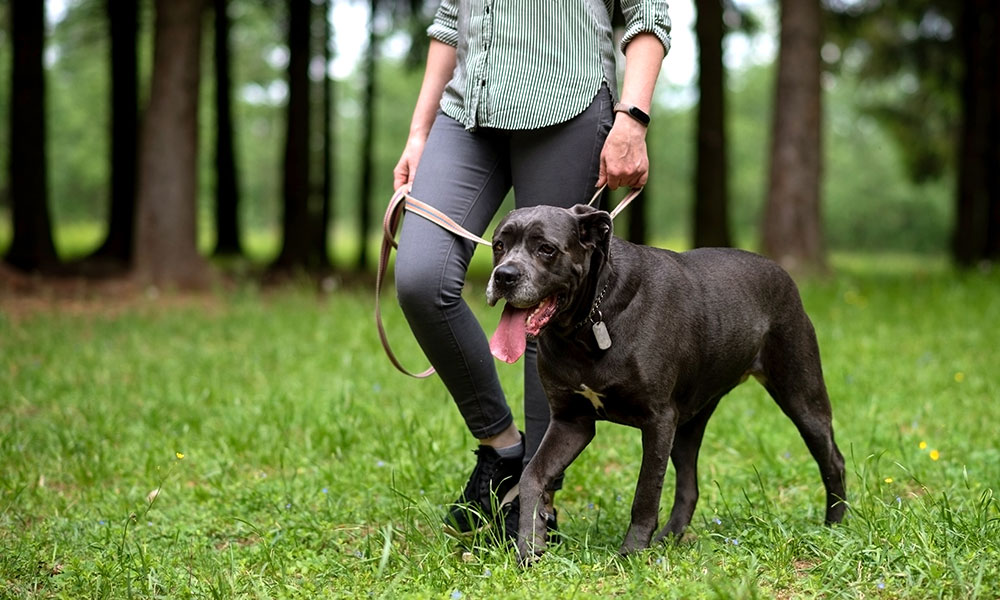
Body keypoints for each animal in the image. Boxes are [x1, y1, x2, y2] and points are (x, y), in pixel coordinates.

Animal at [484, 205, 844, 564]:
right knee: (689, 487)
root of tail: (781, 272)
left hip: (802, 396)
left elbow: (645, 493)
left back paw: (834, 527)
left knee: (833, 459)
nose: (504, 276)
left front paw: (630, 553)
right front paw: (530, 546)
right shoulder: (572, 422)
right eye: (499, 245)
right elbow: (533, 475)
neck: (590, 322)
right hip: (688, 424)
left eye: (546, 249)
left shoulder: (658, 420)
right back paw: (667, 540)